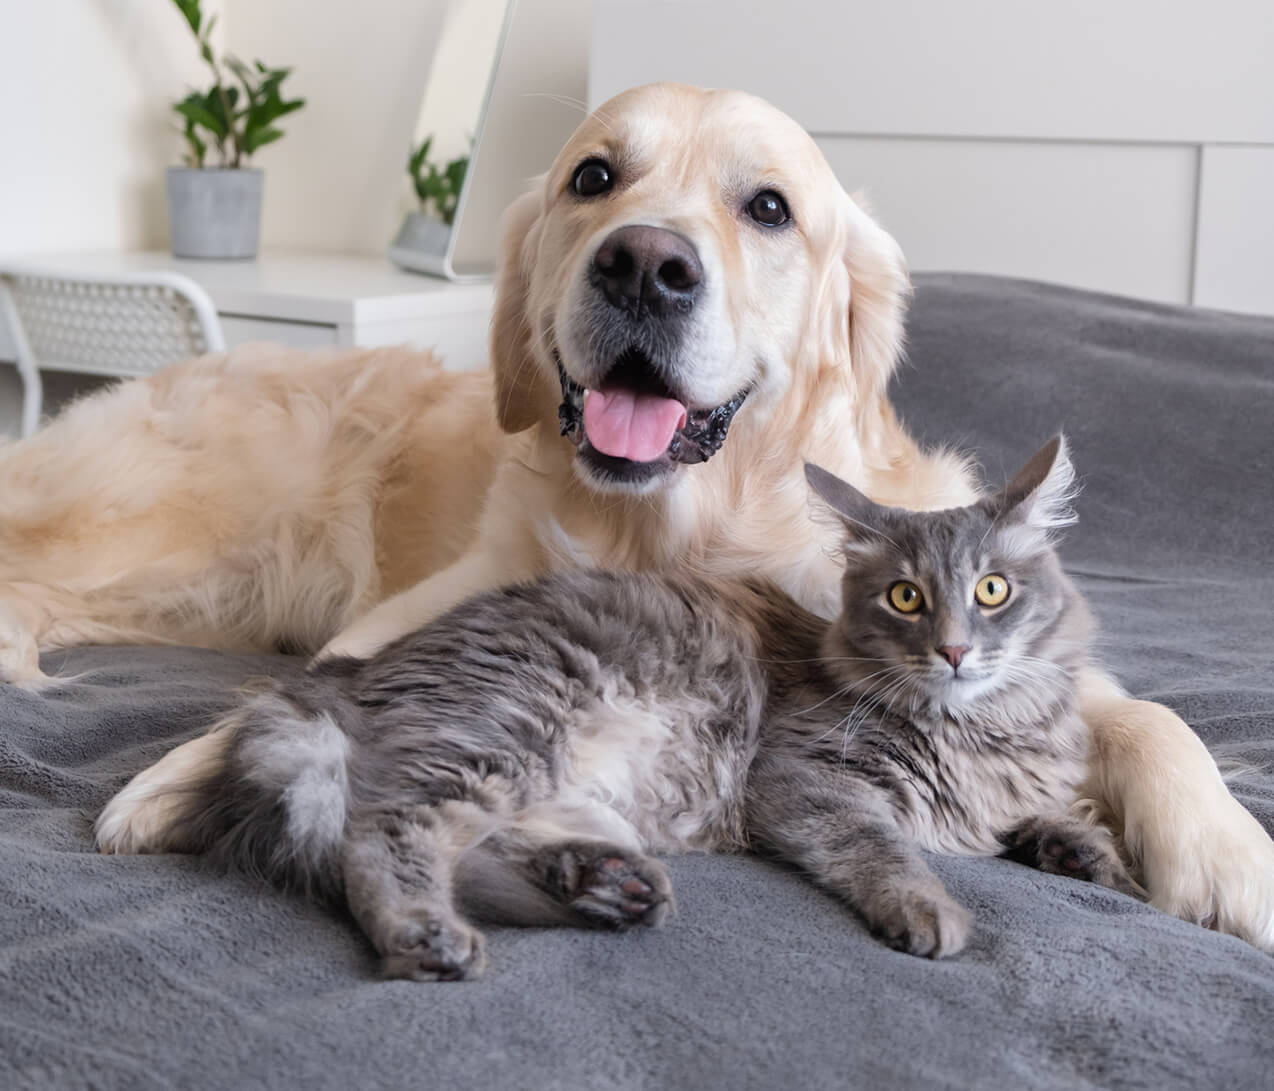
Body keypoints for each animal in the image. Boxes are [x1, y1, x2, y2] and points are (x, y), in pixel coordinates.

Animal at [154, 435, 1141, 978]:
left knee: (484, 847)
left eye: (991, 589)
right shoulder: (806, 777)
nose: (955, 649)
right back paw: (432, 938)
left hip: (551, 780)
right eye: (905, 597)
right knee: (379, 835)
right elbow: (885, 846)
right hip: (506, 727)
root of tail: (343, 675)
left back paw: (603, 886)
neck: (980, 729)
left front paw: (1093, 857)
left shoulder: (1003, 791)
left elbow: (1046, 818)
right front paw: (928, 907)